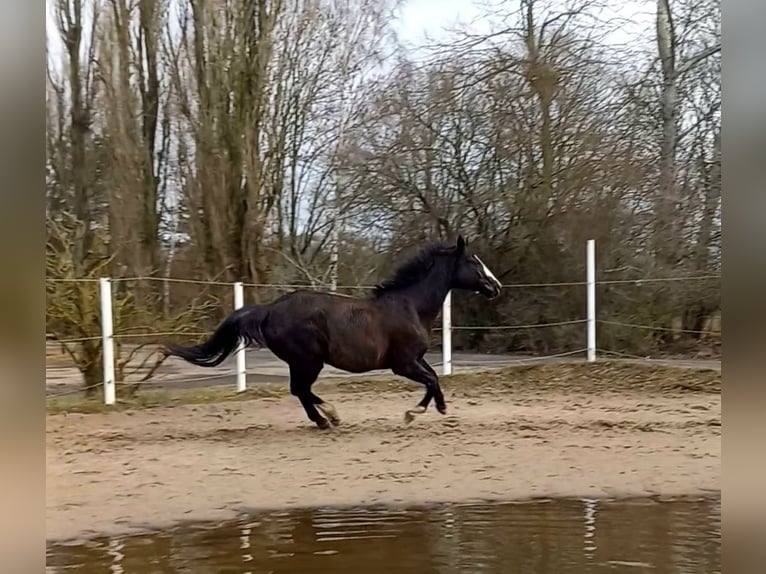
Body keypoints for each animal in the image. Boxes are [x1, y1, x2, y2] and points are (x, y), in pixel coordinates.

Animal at [163, 235, 502, 429]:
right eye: (473, 261)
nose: (495, 286)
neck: (410, 306)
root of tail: (270, 310)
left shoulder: (416, 359)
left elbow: (433, 378)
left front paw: (435, 408)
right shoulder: (403, 364)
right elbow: (431, 380)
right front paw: (413, 414)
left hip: (303, 362)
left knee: (300, 391)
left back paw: (328, 418)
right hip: (308, 361)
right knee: (300, 390)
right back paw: (329, 418)